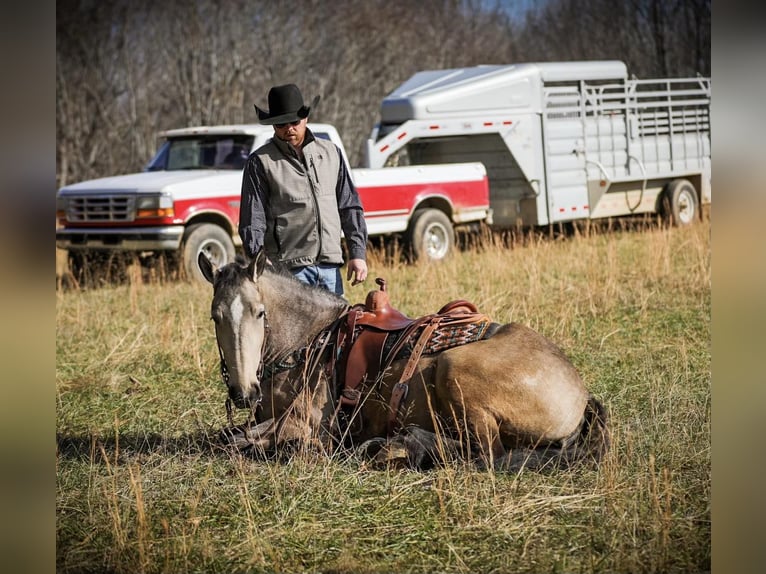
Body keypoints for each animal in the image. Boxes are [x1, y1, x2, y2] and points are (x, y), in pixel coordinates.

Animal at [198, 252, 612, 472]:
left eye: (259, 312)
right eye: (215, 317)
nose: (243, 392)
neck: (308, 343)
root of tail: (580, 395)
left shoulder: (308, 426)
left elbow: (243, 442)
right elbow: (229, 436)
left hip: (454, 370)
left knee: (485, 454)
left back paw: (401, 446)